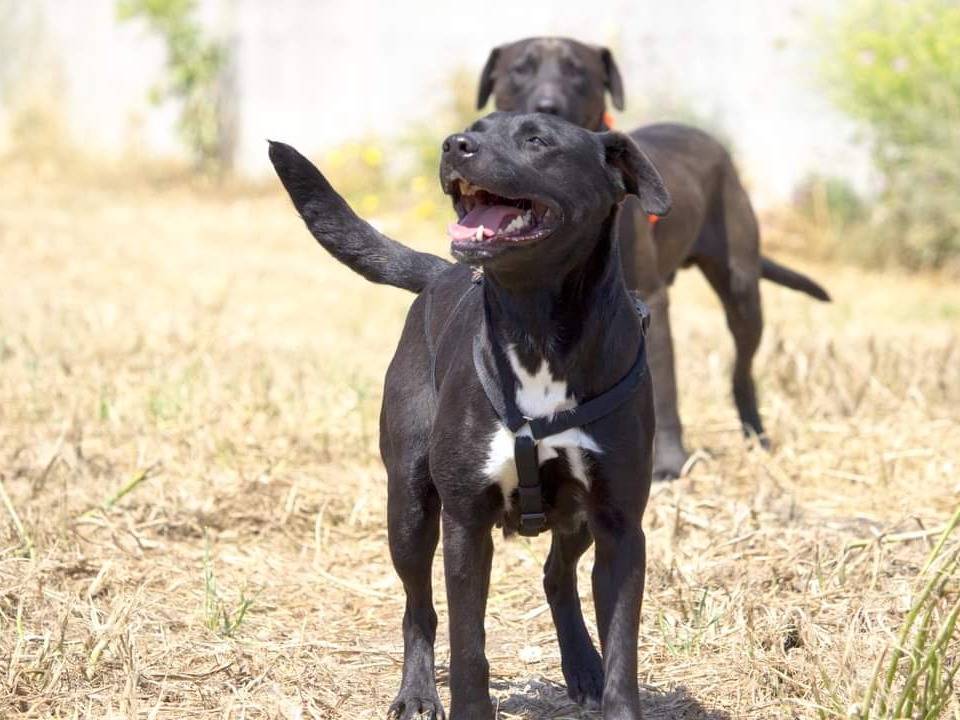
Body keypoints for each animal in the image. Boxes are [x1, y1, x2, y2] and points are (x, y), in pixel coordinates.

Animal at [270, 109, 672, 716]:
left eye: (537, 139)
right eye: (476, 127)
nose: (454, 145)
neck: (535, 329)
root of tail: (442, 273)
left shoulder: (620, 524)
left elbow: (624, 650)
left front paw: (611, 688)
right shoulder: (464, 521)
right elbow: (467, 644)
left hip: (576, 518)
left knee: (556, 575)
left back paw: (583, 666)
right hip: (408, 507)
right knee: (418, 608)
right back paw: (416, 691)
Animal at [480, 38, 832, 478]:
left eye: (577, 71)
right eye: (519, 70)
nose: (547, 106)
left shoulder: (648, 299)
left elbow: (663, 388)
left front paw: (667, 462)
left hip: (742, 291)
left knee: (742, 369)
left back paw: (756, 434)